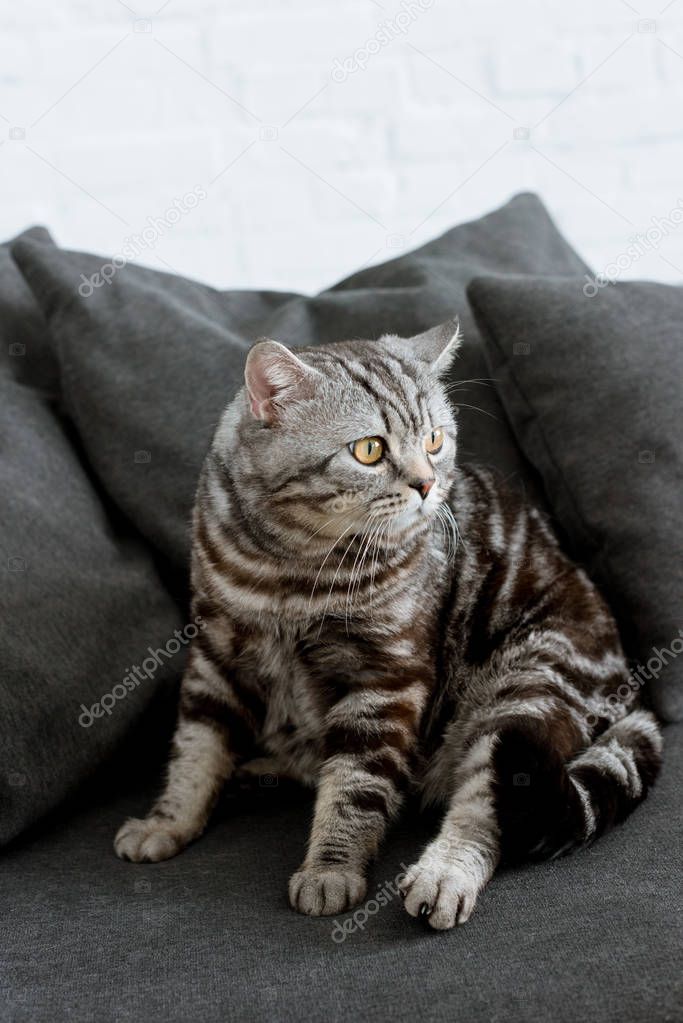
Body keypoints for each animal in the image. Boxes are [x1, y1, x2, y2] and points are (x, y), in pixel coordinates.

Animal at [116, 323, 662, 932]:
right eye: (370, 449)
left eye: (434, 440)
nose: (427, 484)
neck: (291, 569)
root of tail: (630, 689)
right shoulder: (215, 658)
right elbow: (195, 754)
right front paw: (167, 822)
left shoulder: (386, 680)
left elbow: (355, 787)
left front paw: (330, 870)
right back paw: (258, 772)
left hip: (526, 689)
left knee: (484, 808)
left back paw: (442, 876)